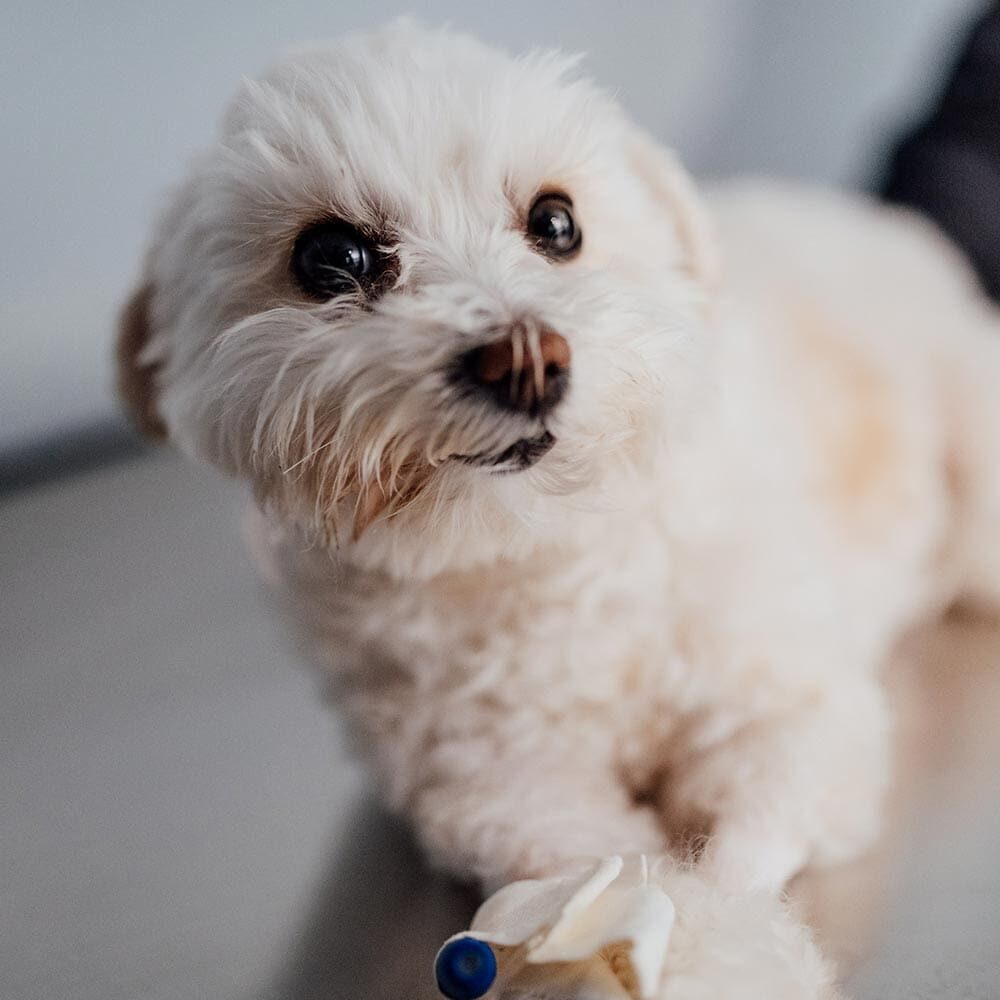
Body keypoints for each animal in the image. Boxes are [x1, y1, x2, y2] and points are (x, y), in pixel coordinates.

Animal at [117, 21, 1000, 992]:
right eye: (331, 258)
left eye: (556, 223)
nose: (525, 357)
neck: (546, 561)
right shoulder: (504, 789)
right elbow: (610, 871)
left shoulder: (790, 714)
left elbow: (741, 854)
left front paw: (723, 952)